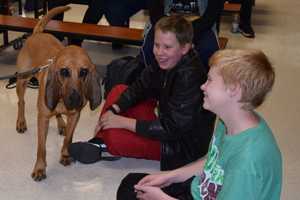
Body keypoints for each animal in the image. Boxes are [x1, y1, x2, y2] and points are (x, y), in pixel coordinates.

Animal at [14, 6, 102, 181]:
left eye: (84, 72)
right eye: (64, 71)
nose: (75, 99)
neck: (62, 100)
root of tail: (37, 33)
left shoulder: (75, 116)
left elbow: (68, 138)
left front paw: (65, 155)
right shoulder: (43, 119)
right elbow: (41, 148)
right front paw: (40, 168)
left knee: (58, 114)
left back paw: (61, 124)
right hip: (22, 80)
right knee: (21, 102)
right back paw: (21, 122)